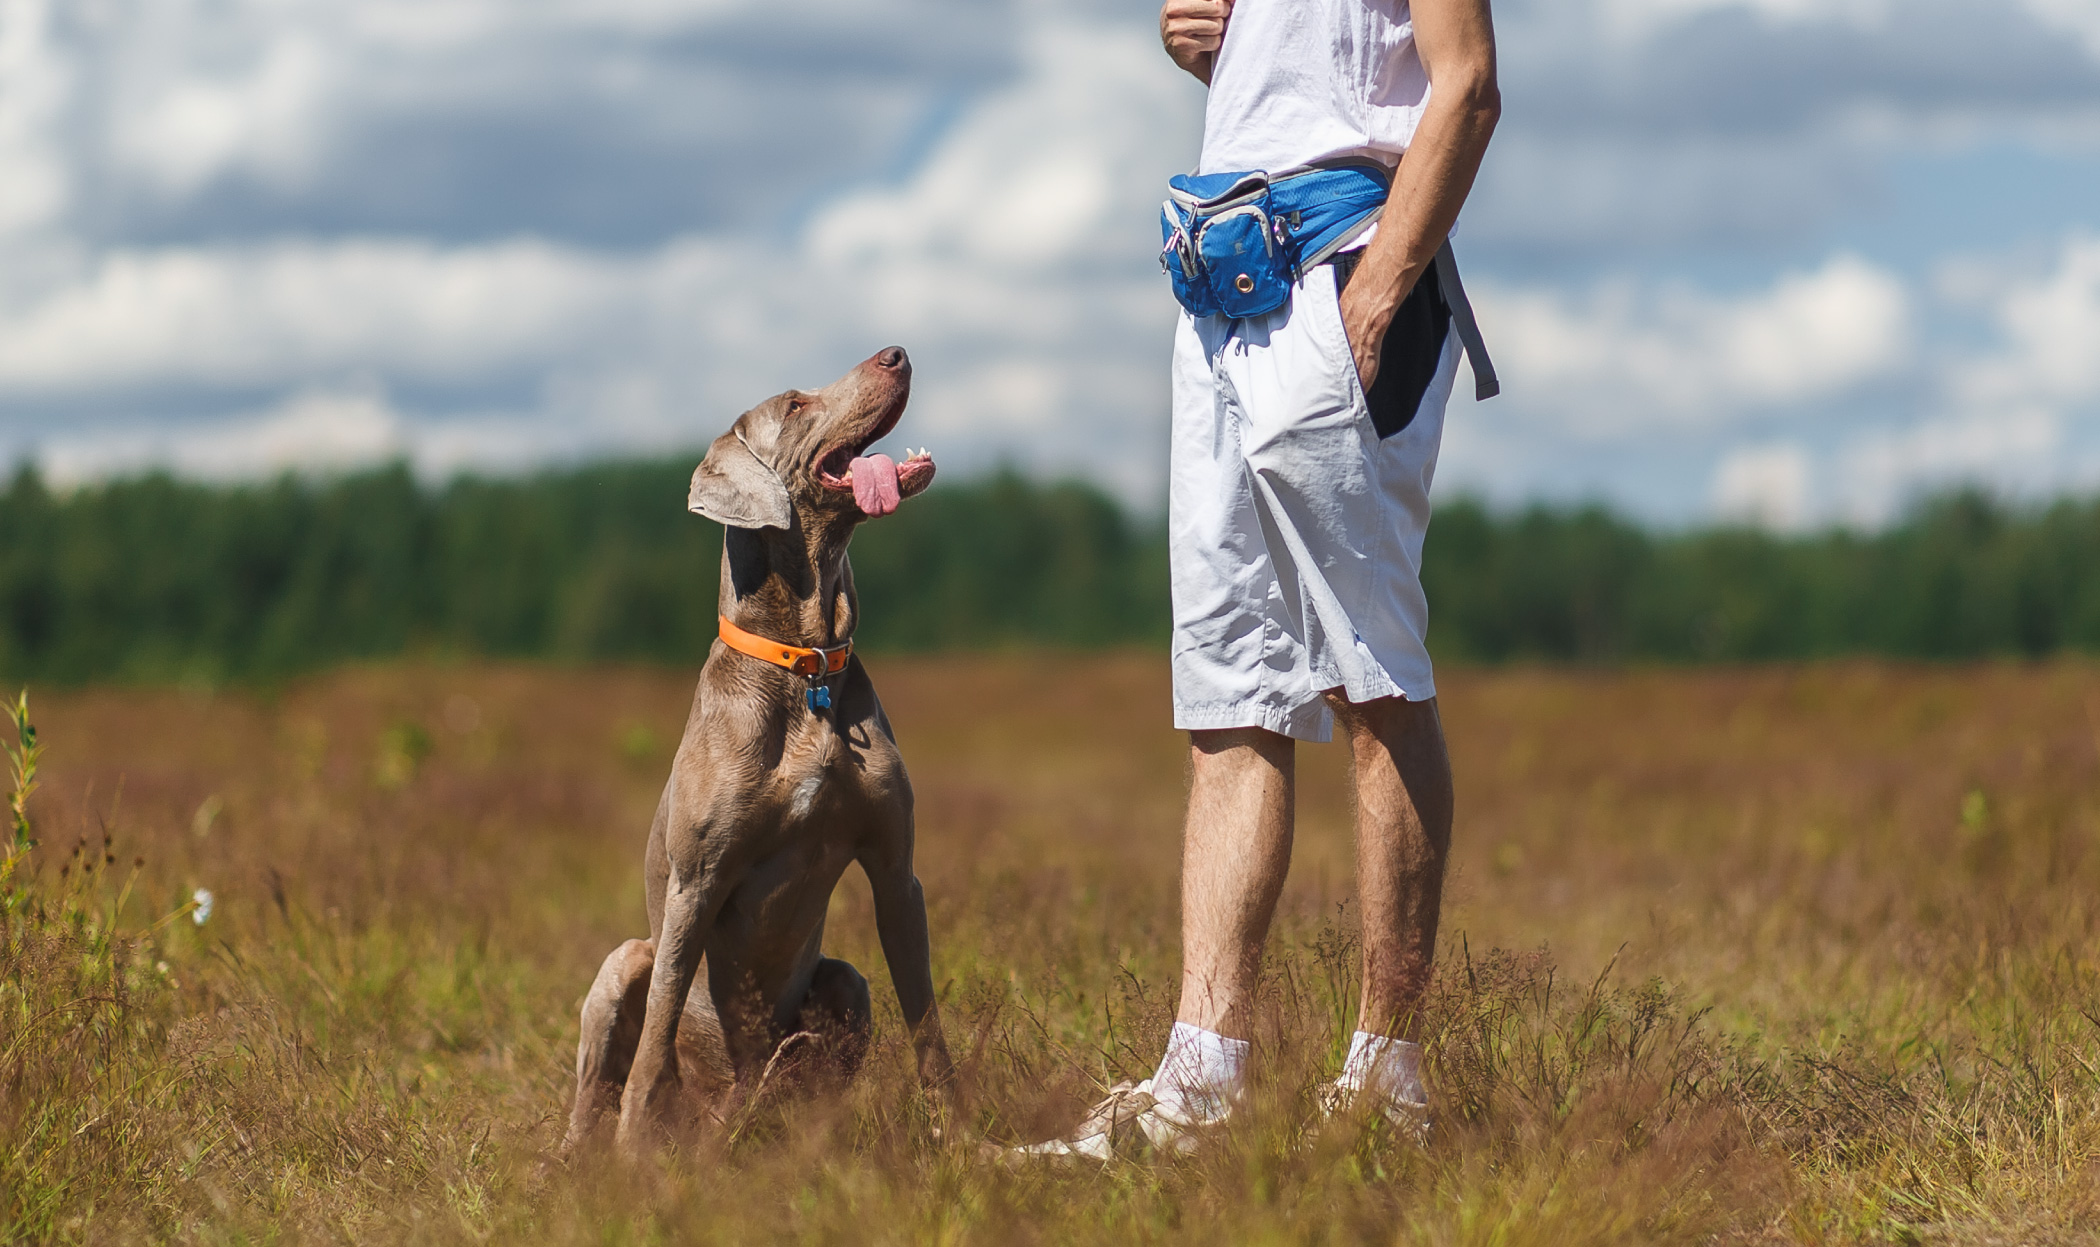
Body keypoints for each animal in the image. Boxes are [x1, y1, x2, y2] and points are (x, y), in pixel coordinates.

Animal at [558, 342, 953, 1142]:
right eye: (796, 405)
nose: (897, 352)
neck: (806, 665)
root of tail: (727, 1112)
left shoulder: (897, 871)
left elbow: (928, 1025)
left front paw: (958, 1134)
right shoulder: (696, 883)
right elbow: (655, 1046)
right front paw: (634, 1152)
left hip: (844, 984)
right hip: (625, 961)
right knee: (599, 1090)